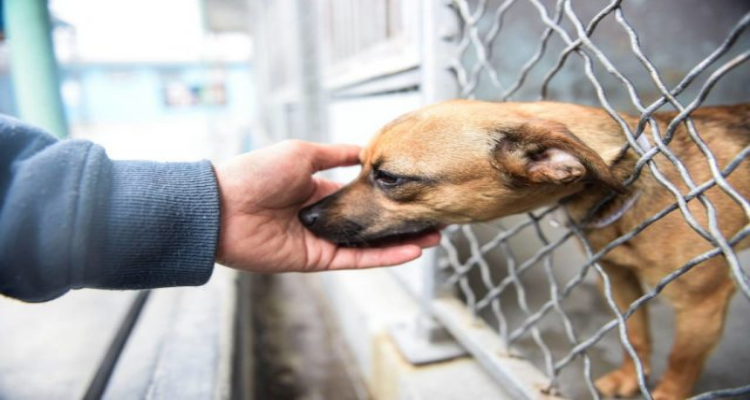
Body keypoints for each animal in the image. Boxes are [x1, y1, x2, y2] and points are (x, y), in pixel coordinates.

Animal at [300, 101, 750, 400]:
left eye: (389, 177)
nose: (306, 214)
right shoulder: (618, 276)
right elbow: (635, 336)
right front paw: (627, 378)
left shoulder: (702, 305)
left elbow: (680, 364)